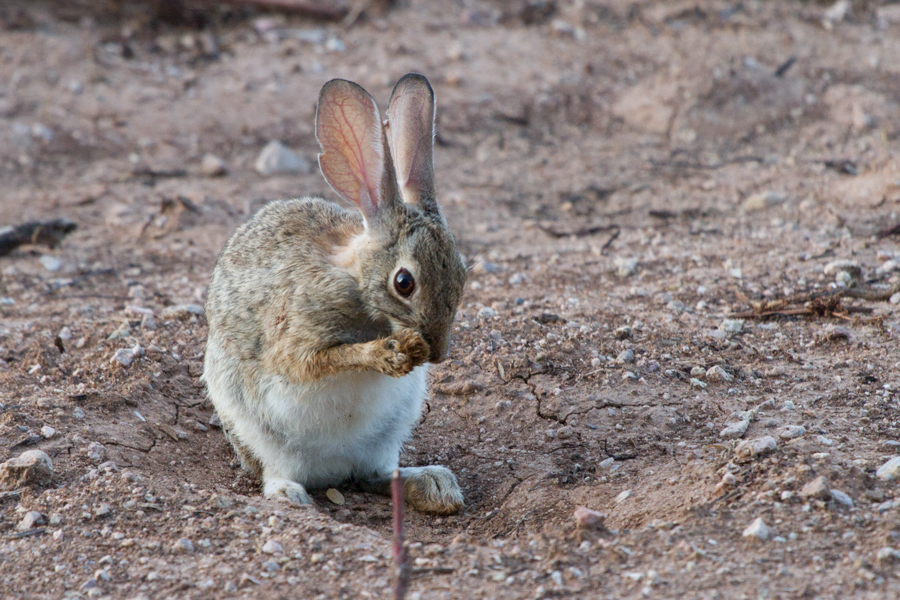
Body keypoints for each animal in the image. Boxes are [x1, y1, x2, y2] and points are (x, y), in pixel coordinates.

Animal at [201, 74, 468, 516]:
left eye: (461, 272)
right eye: (404, 283)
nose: (439, 353)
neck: (359, 285)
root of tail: (332, 471)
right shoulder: (297, 332)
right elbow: (315, 360)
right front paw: (385, 355)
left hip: (387, 435)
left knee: (378, 475)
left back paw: (434, 484)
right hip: (257, 430)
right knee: (278, 472)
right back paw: (291, 496)